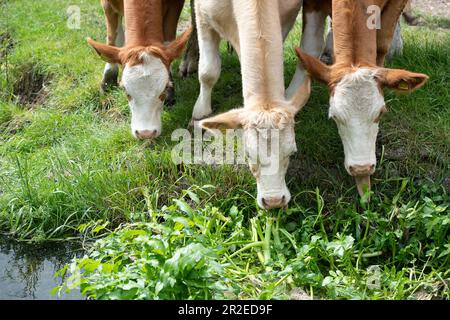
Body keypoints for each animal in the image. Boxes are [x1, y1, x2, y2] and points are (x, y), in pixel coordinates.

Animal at [89, 0, 191, 139]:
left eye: (164, 89)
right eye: (125, 90)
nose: (146, 133)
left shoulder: (175, 4)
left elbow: (168, 41)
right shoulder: (107, 3)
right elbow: (113, 39)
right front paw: (108, 80)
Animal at [195, 0, 312, 209]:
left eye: (292, 153)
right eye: (248, 154)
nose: (274, 201)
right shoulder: (202, 15)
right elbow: (208, 71)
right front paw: (200, 112)